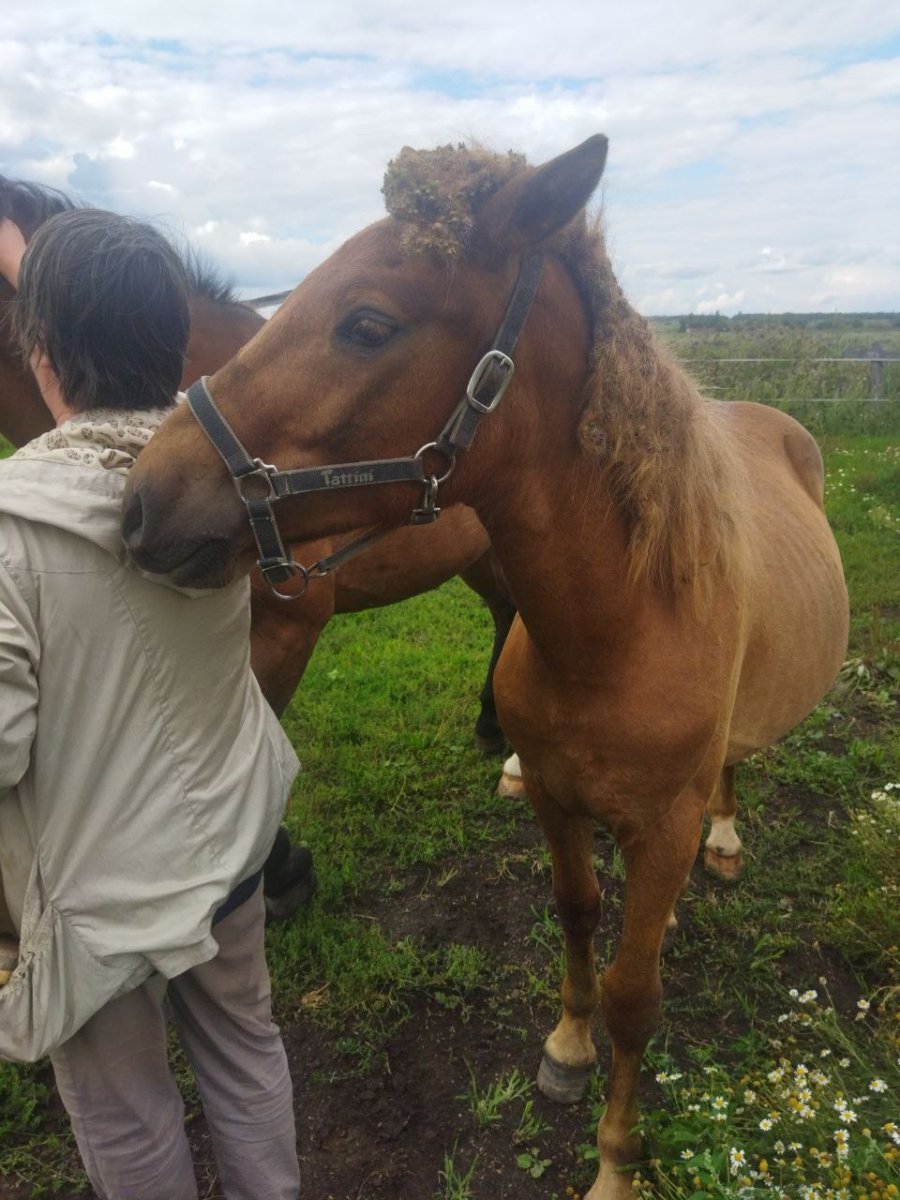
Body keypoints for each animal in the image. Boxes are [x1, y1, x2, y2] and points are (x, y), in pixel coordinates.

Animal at [118, 136, 844, 1195]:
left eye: (367, 324)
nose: (140, 504)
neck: (616, 634)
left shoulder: (657, 825)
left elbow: (635, 996)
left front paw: (615, 1162)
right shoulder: (552, 795)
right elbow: (577, 913)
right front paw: (568, 1048)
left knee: (729, 773)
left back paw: (726, 835)